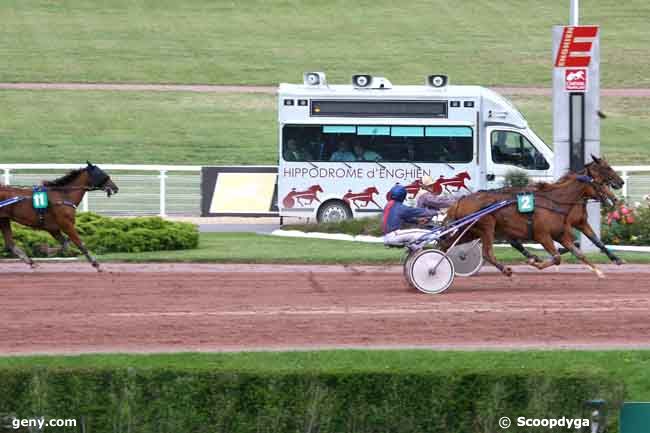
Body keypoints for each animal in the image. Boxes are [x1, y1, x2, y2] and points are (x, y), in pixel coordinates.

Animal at [442, 155, 620, 276]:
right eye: (606, 171)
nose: (616, 195)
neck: (556, 201)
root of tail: (461, 200)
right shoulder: (543, 235)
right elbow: (557, 257)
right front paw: (534, 262)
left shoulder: (562, 233)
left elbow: (581, 251)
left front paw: (600, 270)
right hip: (486, 227)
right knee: (487, 253)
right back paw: (506, 269)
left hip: (470, 231)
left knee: (446, 244)